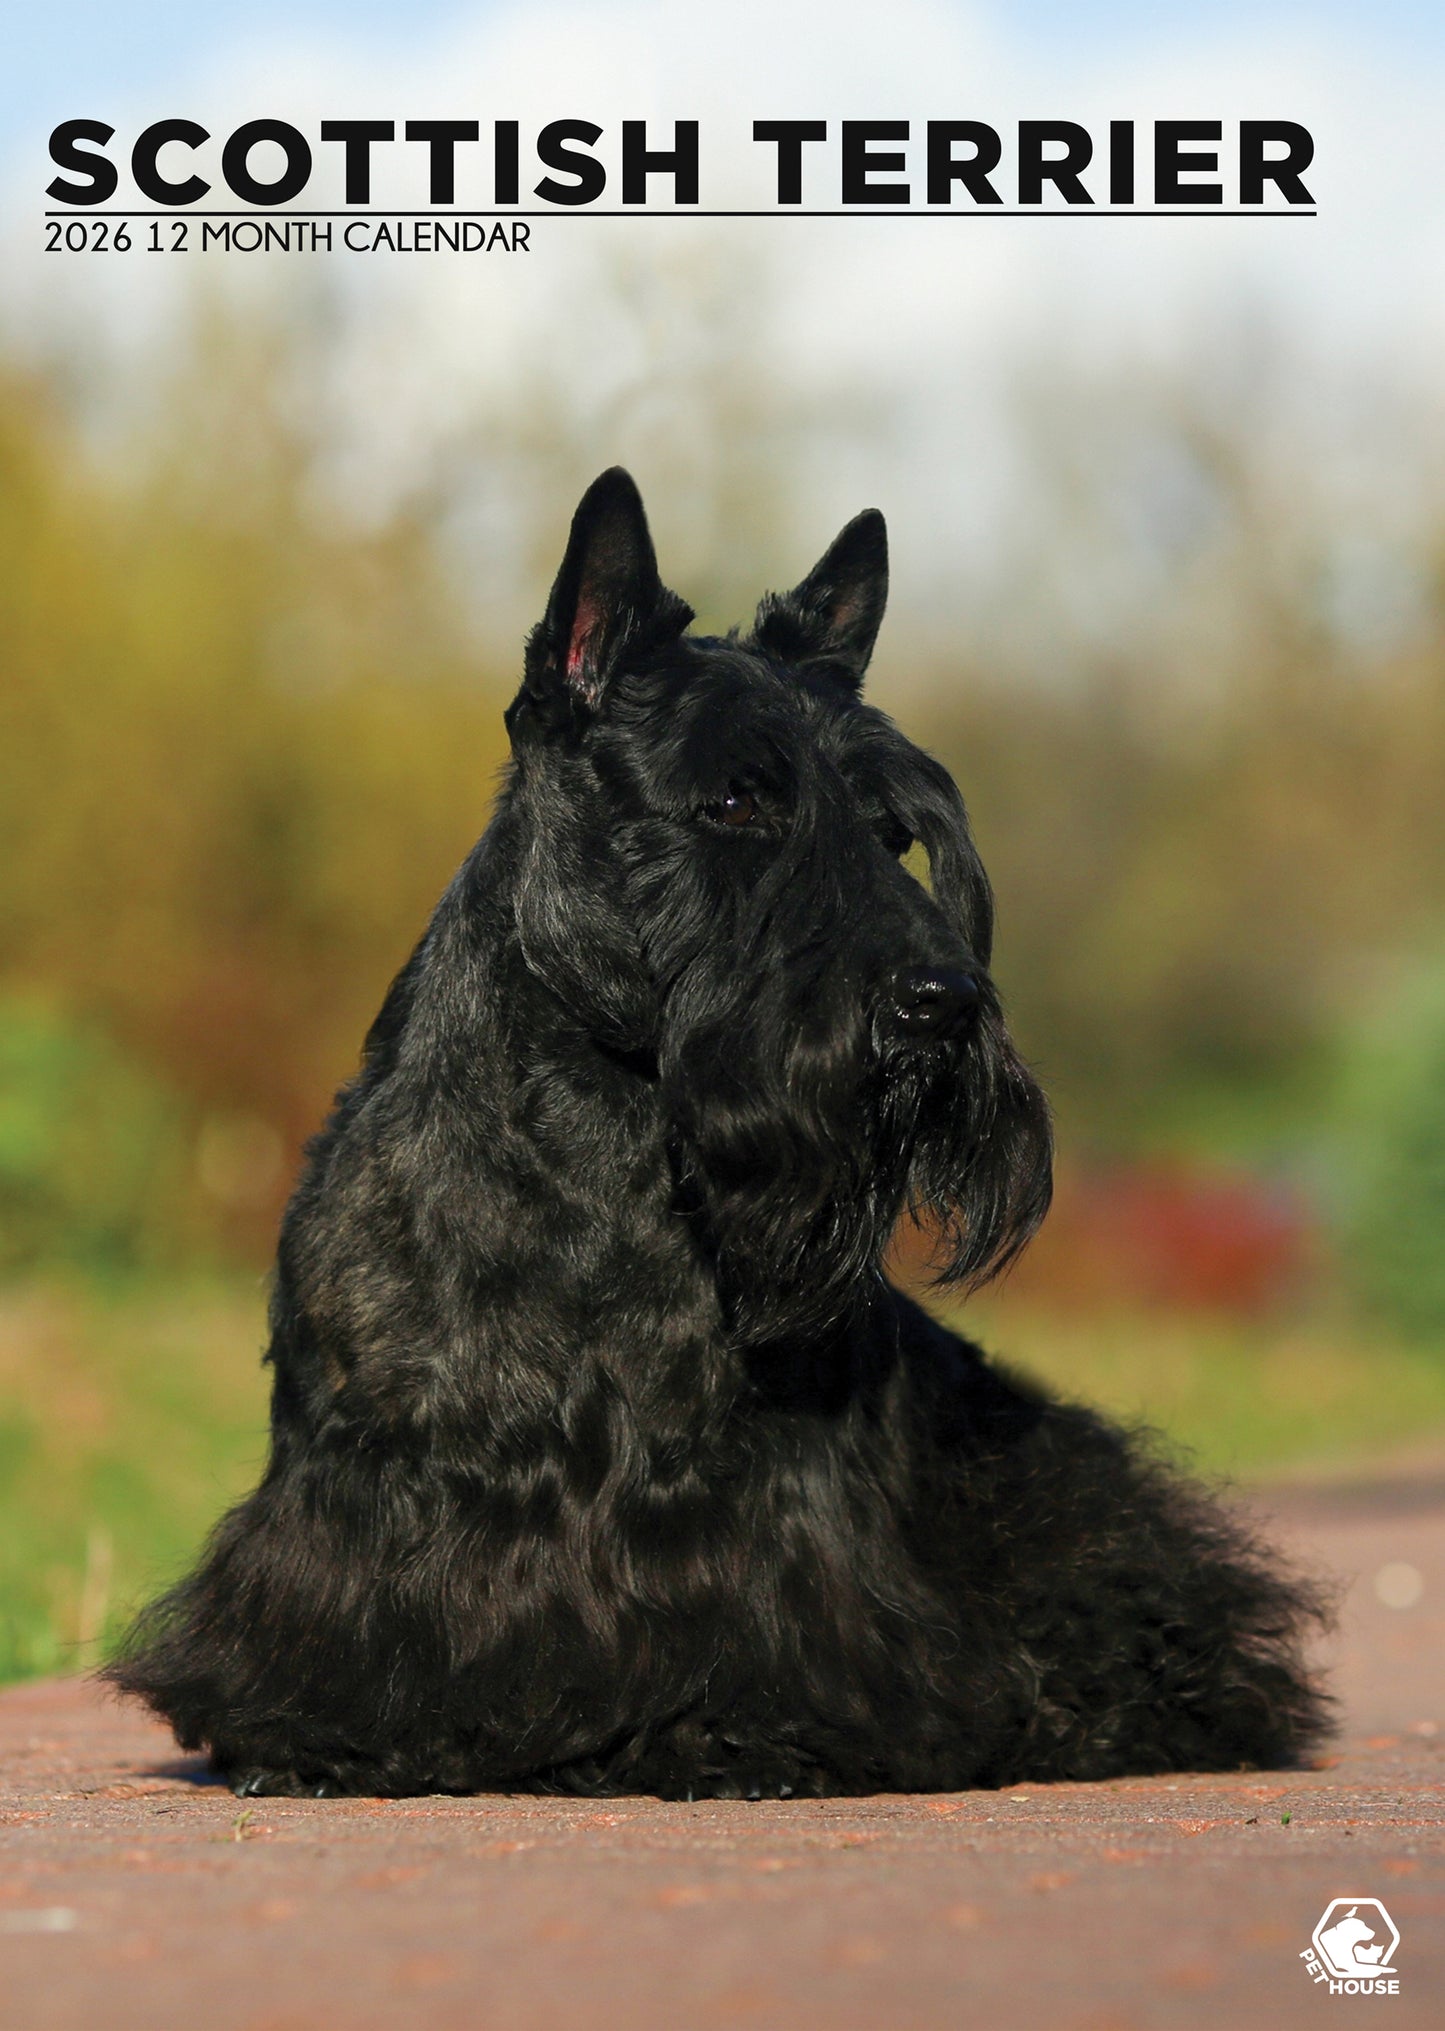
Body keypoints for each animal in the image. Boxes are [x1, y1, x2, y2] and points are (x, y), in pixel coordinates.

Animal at [110, 471, 1333, 1795]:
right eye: (738, 799)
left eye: (891, 830)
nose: (941, 1004)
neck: (606, 1148)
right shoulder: (366, 1472)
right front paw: (322, 1734)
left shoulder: (784, 1500)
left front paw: (745, 1730)